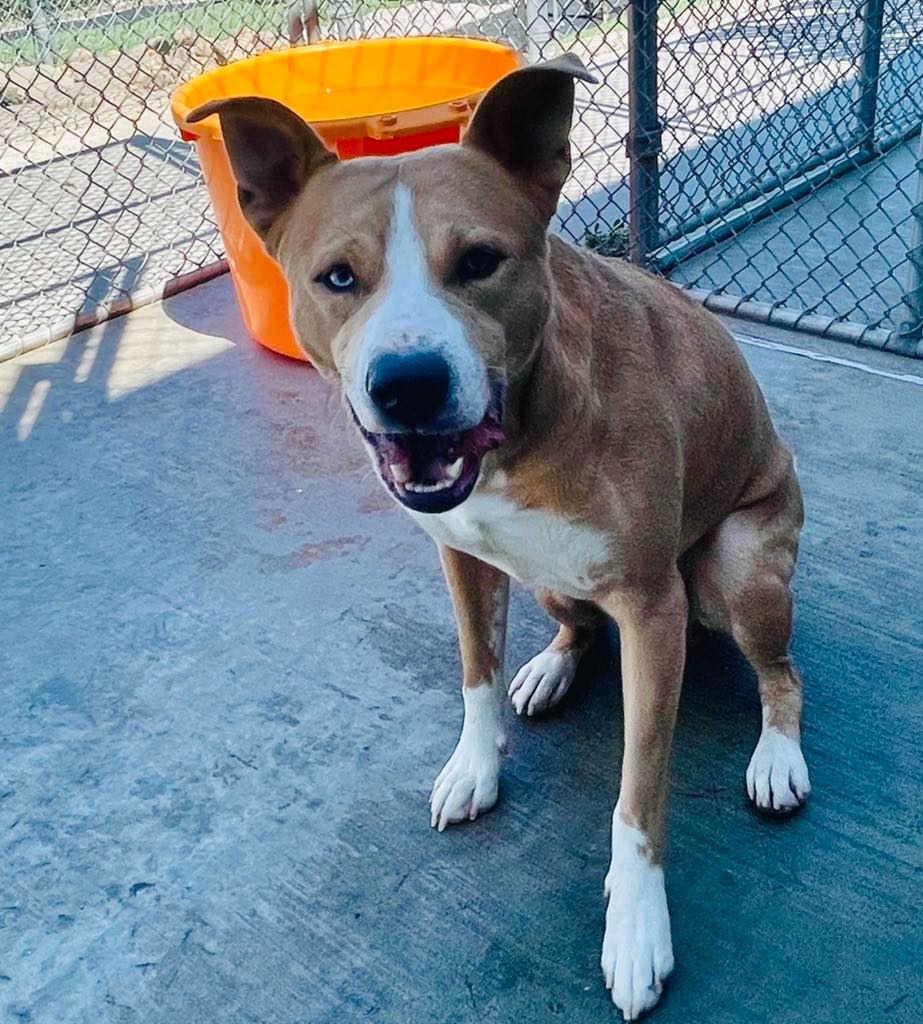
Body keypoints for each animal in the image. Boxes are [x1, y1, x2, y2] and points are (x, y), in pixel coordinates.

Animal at [190, 51, 811, 1019]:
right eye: (338, 278)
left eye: (480, 261)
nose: (407, 383)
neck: (519, 433)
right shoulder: (461, 557)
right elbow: (474, 677)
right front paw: (473, 765)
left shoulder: (653, 609)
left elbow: (639, 790)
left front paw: (635, 925)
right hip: (560, 580)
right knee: (576, 624)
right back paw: (551, 667)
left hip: (734, 571)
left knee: (781, 673)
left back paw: (777, 757)